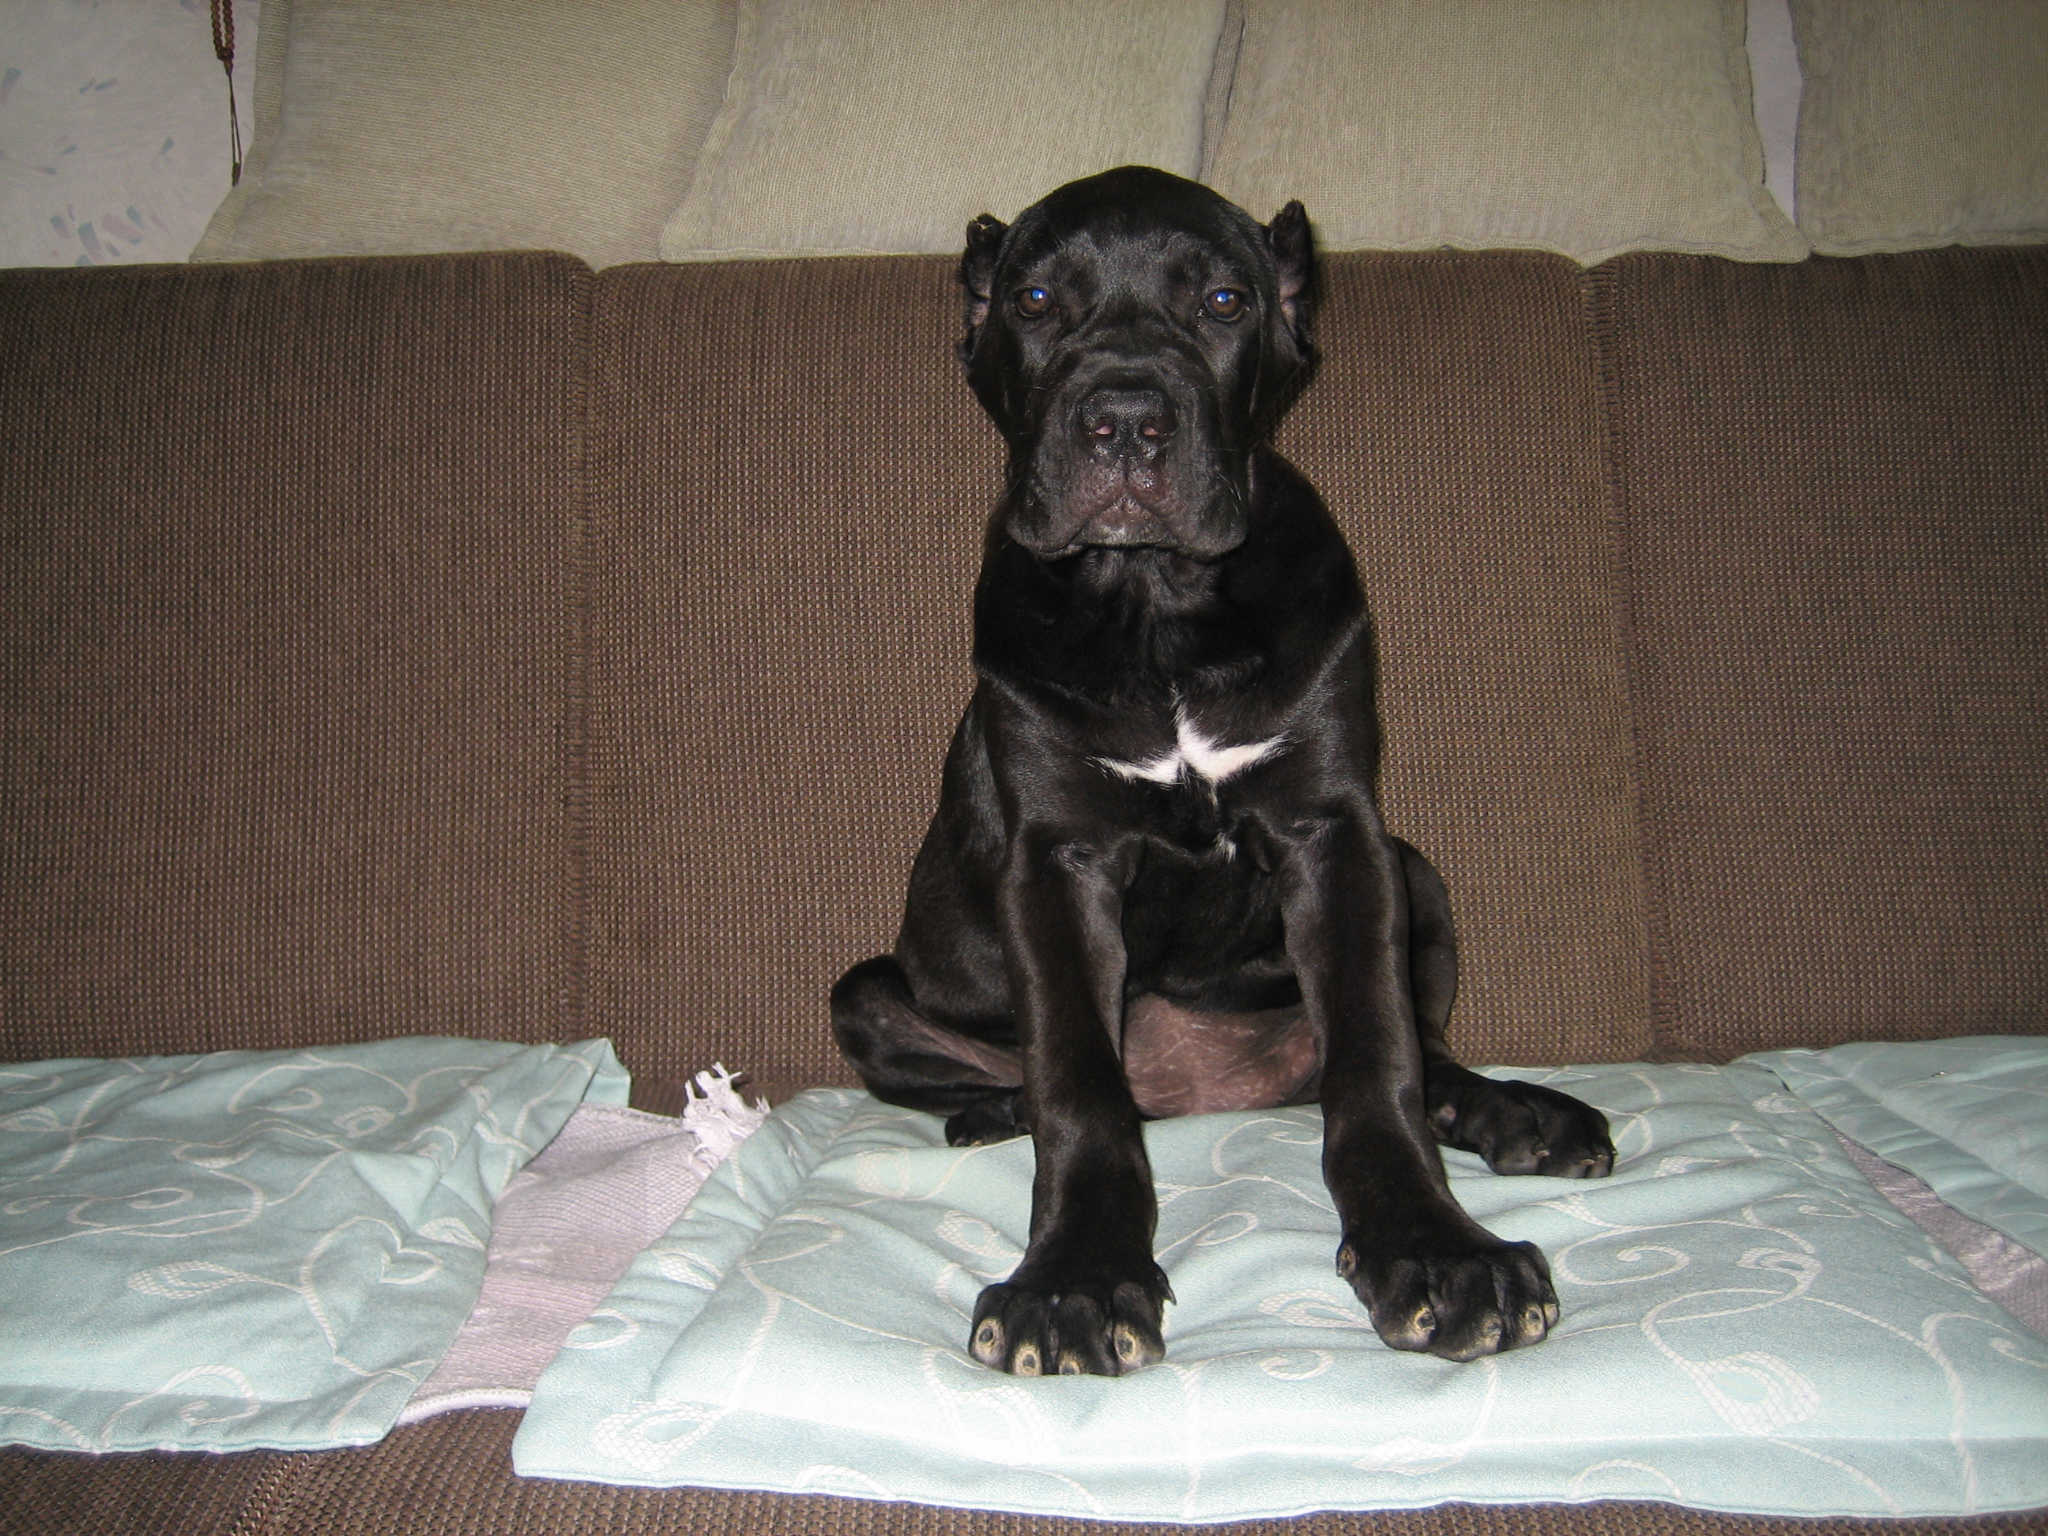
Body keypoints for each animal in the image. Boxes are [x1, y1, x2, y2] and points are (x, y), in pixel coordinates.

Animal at [832, 166, 1615, 1377]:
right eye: (1036, 298)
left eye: (1223, 301)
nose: (1123, 421)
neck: (1155, 605)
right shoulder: (1055, 859)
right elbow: (1077, 1082)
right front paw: (1074, 1280)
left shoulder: (1336, 834)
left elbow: (1377, 1058)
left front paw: (1434, 1250)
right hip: (867, 993)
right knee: (1020, 1072)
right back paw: (994, 1113)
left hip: (1415, 868)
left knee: (1420, 1048)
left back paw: (1513, 1112)